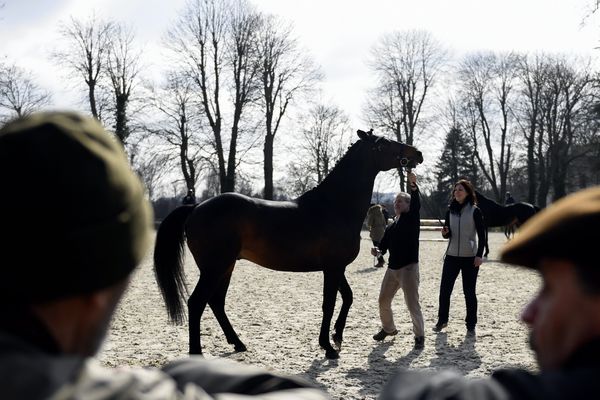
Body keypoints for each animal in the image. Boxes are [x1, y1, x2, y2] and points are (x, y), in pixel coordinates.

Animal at [152, 129, 424, 360]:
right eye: (383, 144)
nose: (417, 153)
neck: (334, 206)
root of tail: (196, 207)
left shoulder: (337, 268)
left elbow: (347, 297)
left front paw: (337, 336)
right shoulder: (333, 268)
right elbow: (329, 304)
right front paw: (327, 347)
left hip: (225, 267)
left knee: (216, 302)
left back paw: (238, 343)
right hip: (214, 268)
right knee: (197, 302)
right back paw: (197, 352)